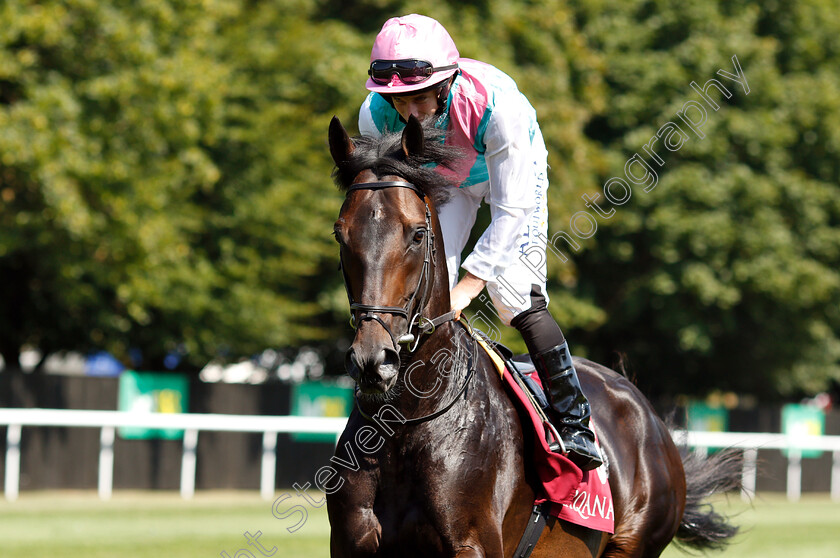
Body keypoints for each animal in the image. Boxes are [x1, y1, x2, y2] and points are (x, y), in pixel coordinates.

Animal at [324, 116, 740, 556]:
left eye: (417, 234)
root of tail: (649, 417)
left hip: (635, 544)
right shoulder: (350, 542)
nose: (373, 360)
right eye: (340, 233)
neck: (405, 423)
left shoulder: (473, 544)